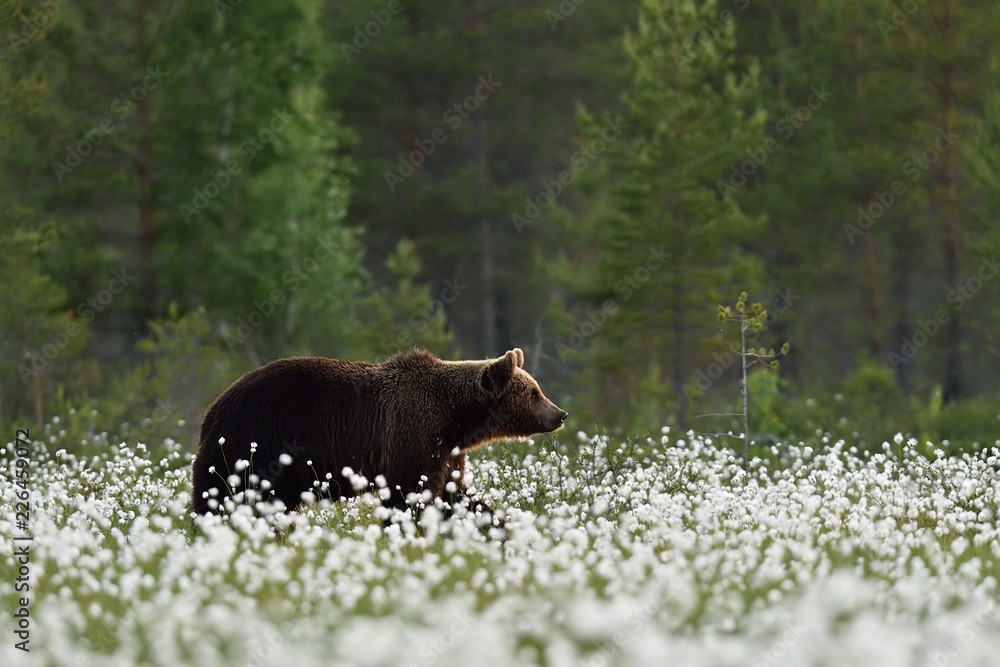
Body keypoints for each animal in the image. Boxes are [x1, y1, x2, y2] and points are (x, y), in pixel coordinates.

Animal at [188, 350, 564, 520]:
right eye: (534, 392)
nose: (560, 414)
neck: (457, 420)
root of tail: (212, 409)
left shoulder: (447, 452)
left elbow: (455, 494)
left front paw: (497, 528)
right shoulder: (411, 431)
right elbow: (408, 491)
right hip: (255, 440)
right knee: (219, 493)